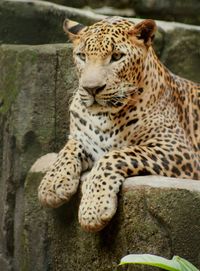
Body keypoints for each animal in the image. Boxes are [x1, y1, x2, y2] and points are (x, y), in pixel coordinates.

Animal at [37, 17, 200, 233]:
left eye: (116, 56)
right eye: (82, 56)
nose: (91, 89)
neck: (104, 115)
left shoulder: (178, 150)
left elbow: (115, 155)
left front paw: (93, 207)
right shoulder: (83, 137)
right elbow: (68, 149)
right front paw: (52, 183)